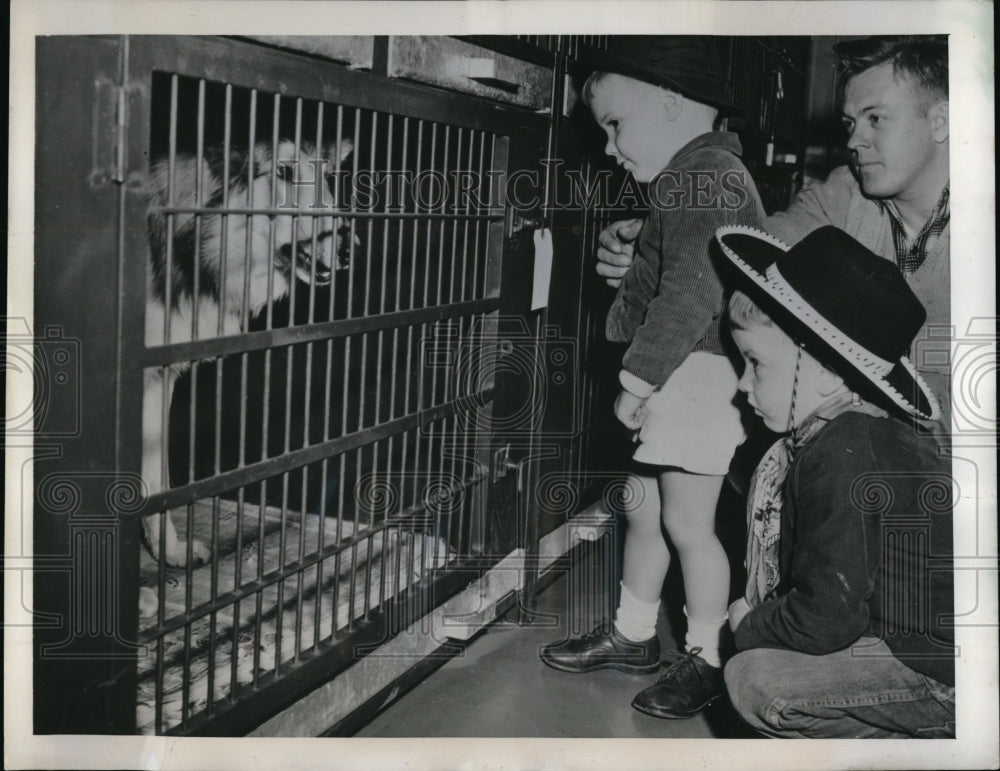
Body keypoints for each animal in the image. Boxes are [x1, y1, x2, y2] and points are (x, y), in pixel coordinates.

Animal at [143, 136, 354, 568]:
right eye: (284, 172)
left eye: (327, 176)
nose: (347, 247)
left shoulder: (159, 379)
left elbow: (158, 481)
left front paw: (170, 553)